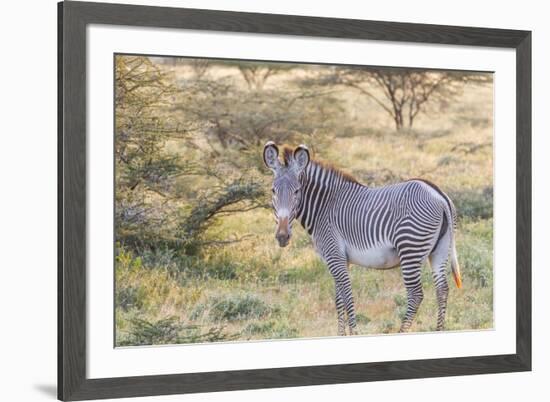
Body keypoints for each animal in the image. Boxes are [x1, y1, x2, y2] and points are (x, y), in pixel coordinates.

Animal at [264, 141, 462, 336]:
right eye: (273, 191)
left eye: (297, 191)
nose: (282, 236)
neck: (324, 207)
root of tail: (439, 195)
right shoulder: (341, 259)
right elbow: (339, 300)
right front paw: (341, 335)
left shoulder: (333, 256)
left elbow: (347, 297)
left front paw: (354, 334)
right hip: (439, 250)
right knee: (442, 289)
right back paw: (439, 330)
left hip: (410, 249)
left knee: (416, 294)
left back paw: (401, 331)